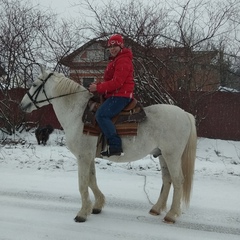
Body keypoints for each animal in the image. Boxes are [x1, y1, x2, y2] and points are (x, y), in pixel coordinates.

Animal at [20, 67, 197, 223]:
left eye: (34, 84)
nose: (22, 105)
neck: (77, 114)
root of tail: (184, 114)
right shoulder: (89, 156)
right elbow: (92, 180)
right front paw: (97, 205)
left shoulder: (83, 156)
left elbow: (83, 183)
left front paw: (82, 214)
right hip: (161, 155)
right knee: (167, 179)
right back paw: (156, 208)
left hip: (172, 155)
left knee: (178, 180)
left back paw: (171, 215)